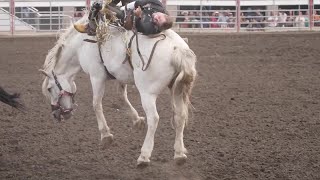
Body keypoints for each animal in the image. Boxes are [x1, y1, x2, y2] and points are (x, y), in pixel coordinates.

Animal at [41, 14, 196, 167]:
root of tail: (178, 49)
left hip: (147, 93)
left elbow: (96, 104)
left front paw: (105, 135)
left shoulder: (96, 76)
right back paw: (179, 154)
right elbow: (121, 97)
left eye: (49, 89)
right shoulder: (121, 75)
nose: (55, 114)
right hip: (177, 89)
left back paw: (144, 156)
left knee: (154, 118)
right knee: (180, 116)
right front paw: (137, 120)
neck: (82, 44)